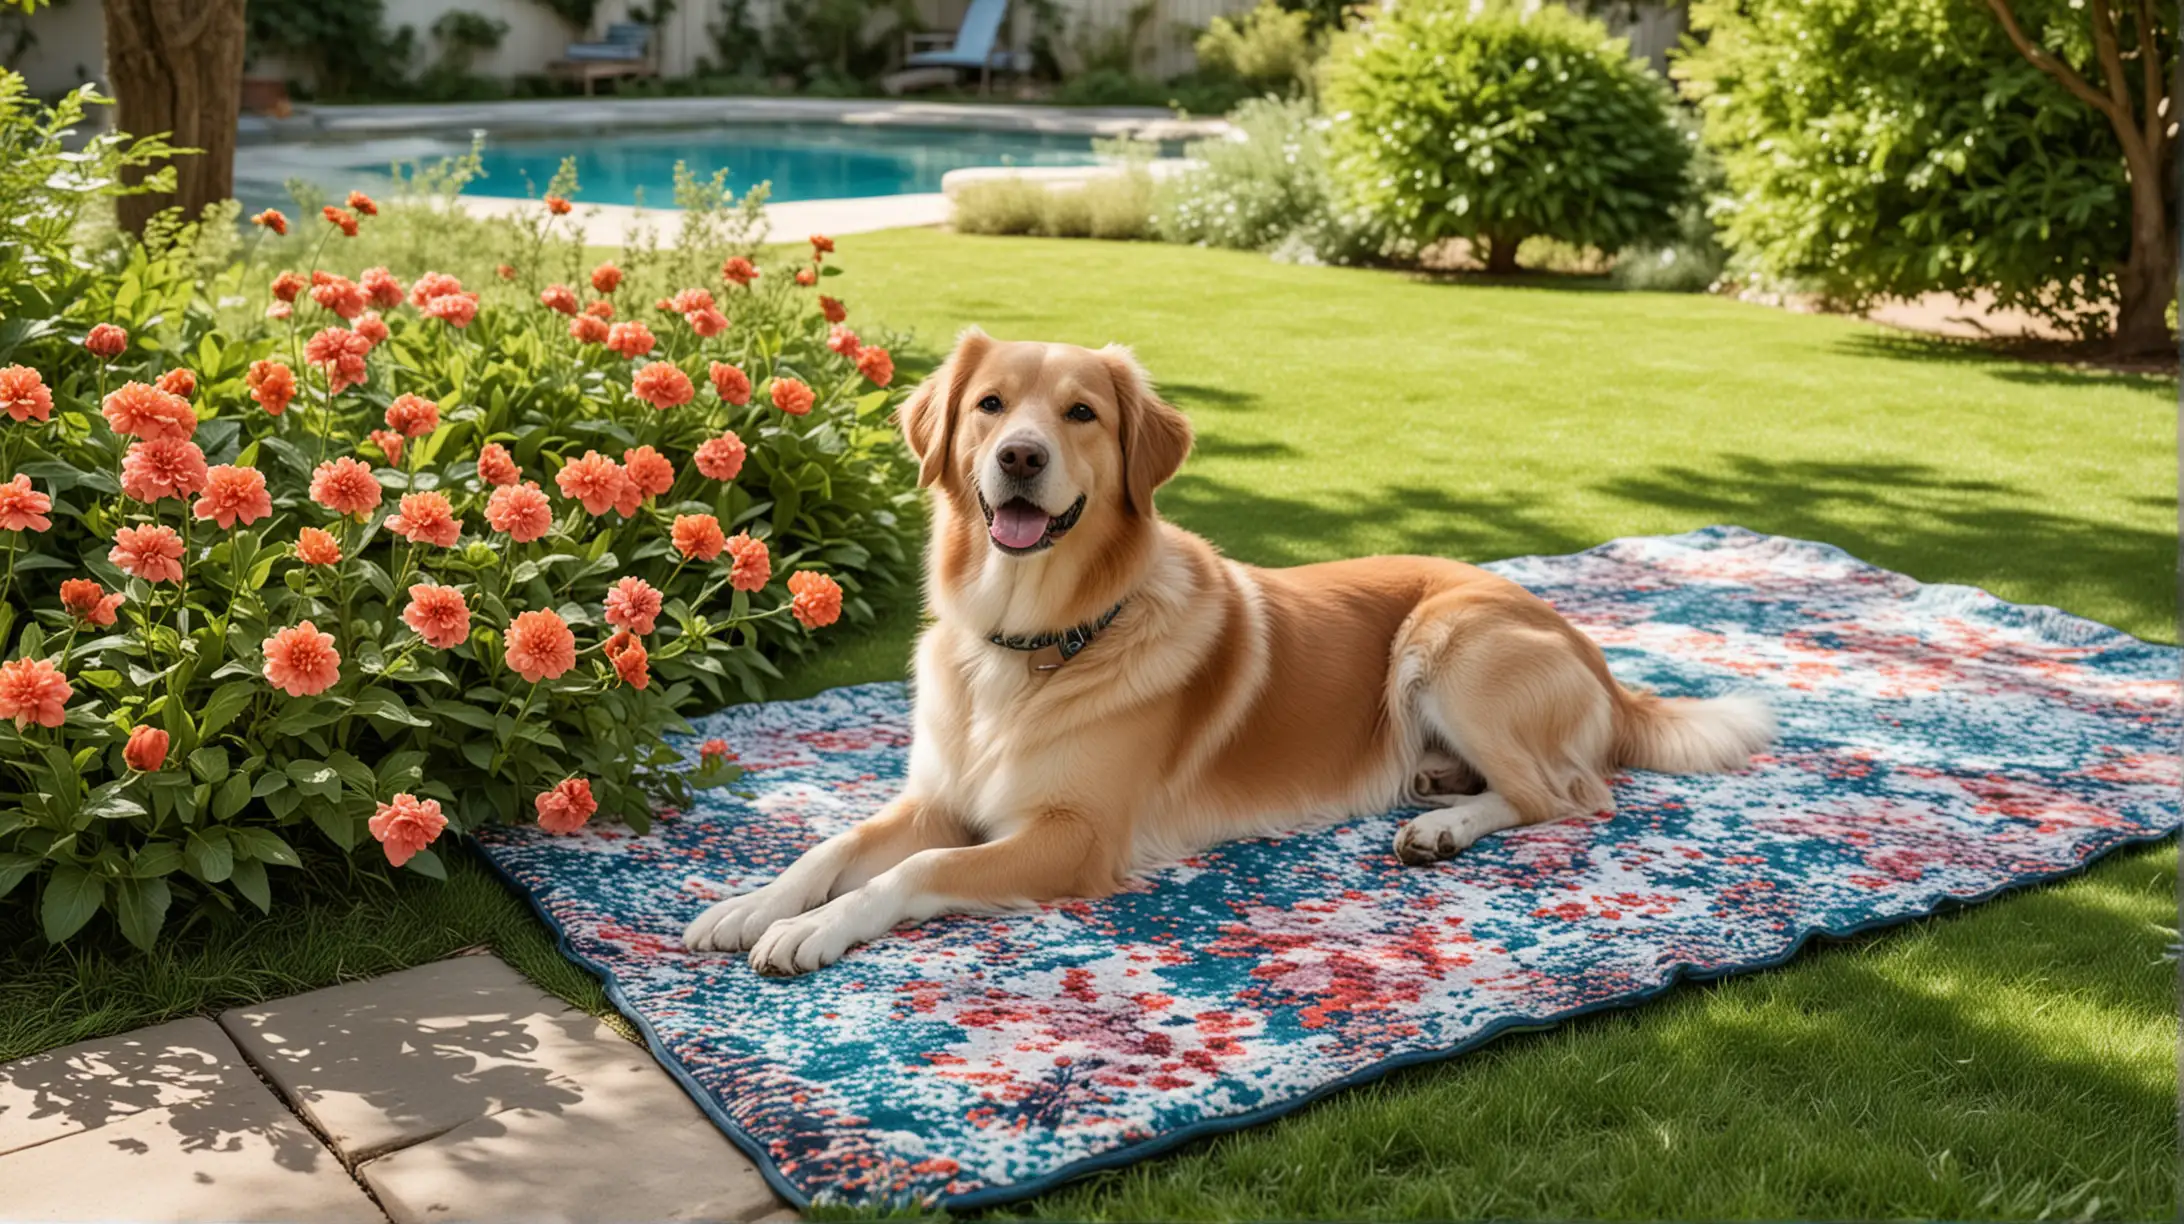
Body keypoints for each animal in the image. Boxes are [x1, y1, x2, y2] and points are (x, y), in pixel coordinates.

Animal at [681, 327, 1773, 974]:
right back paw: (1434, 795)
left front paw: (811, 931)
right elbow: (831, 846)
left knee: (1572, 795)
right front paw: (750, 905)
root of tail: (1595, 657)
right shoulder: (939, 793)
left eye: (1081, 412)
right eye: (990, 405)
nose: (1021, 458)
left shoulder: (1073, 836)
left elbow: (909, 873)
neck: (1036, 638)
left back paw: (1445, 827)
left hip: (1449, 639)